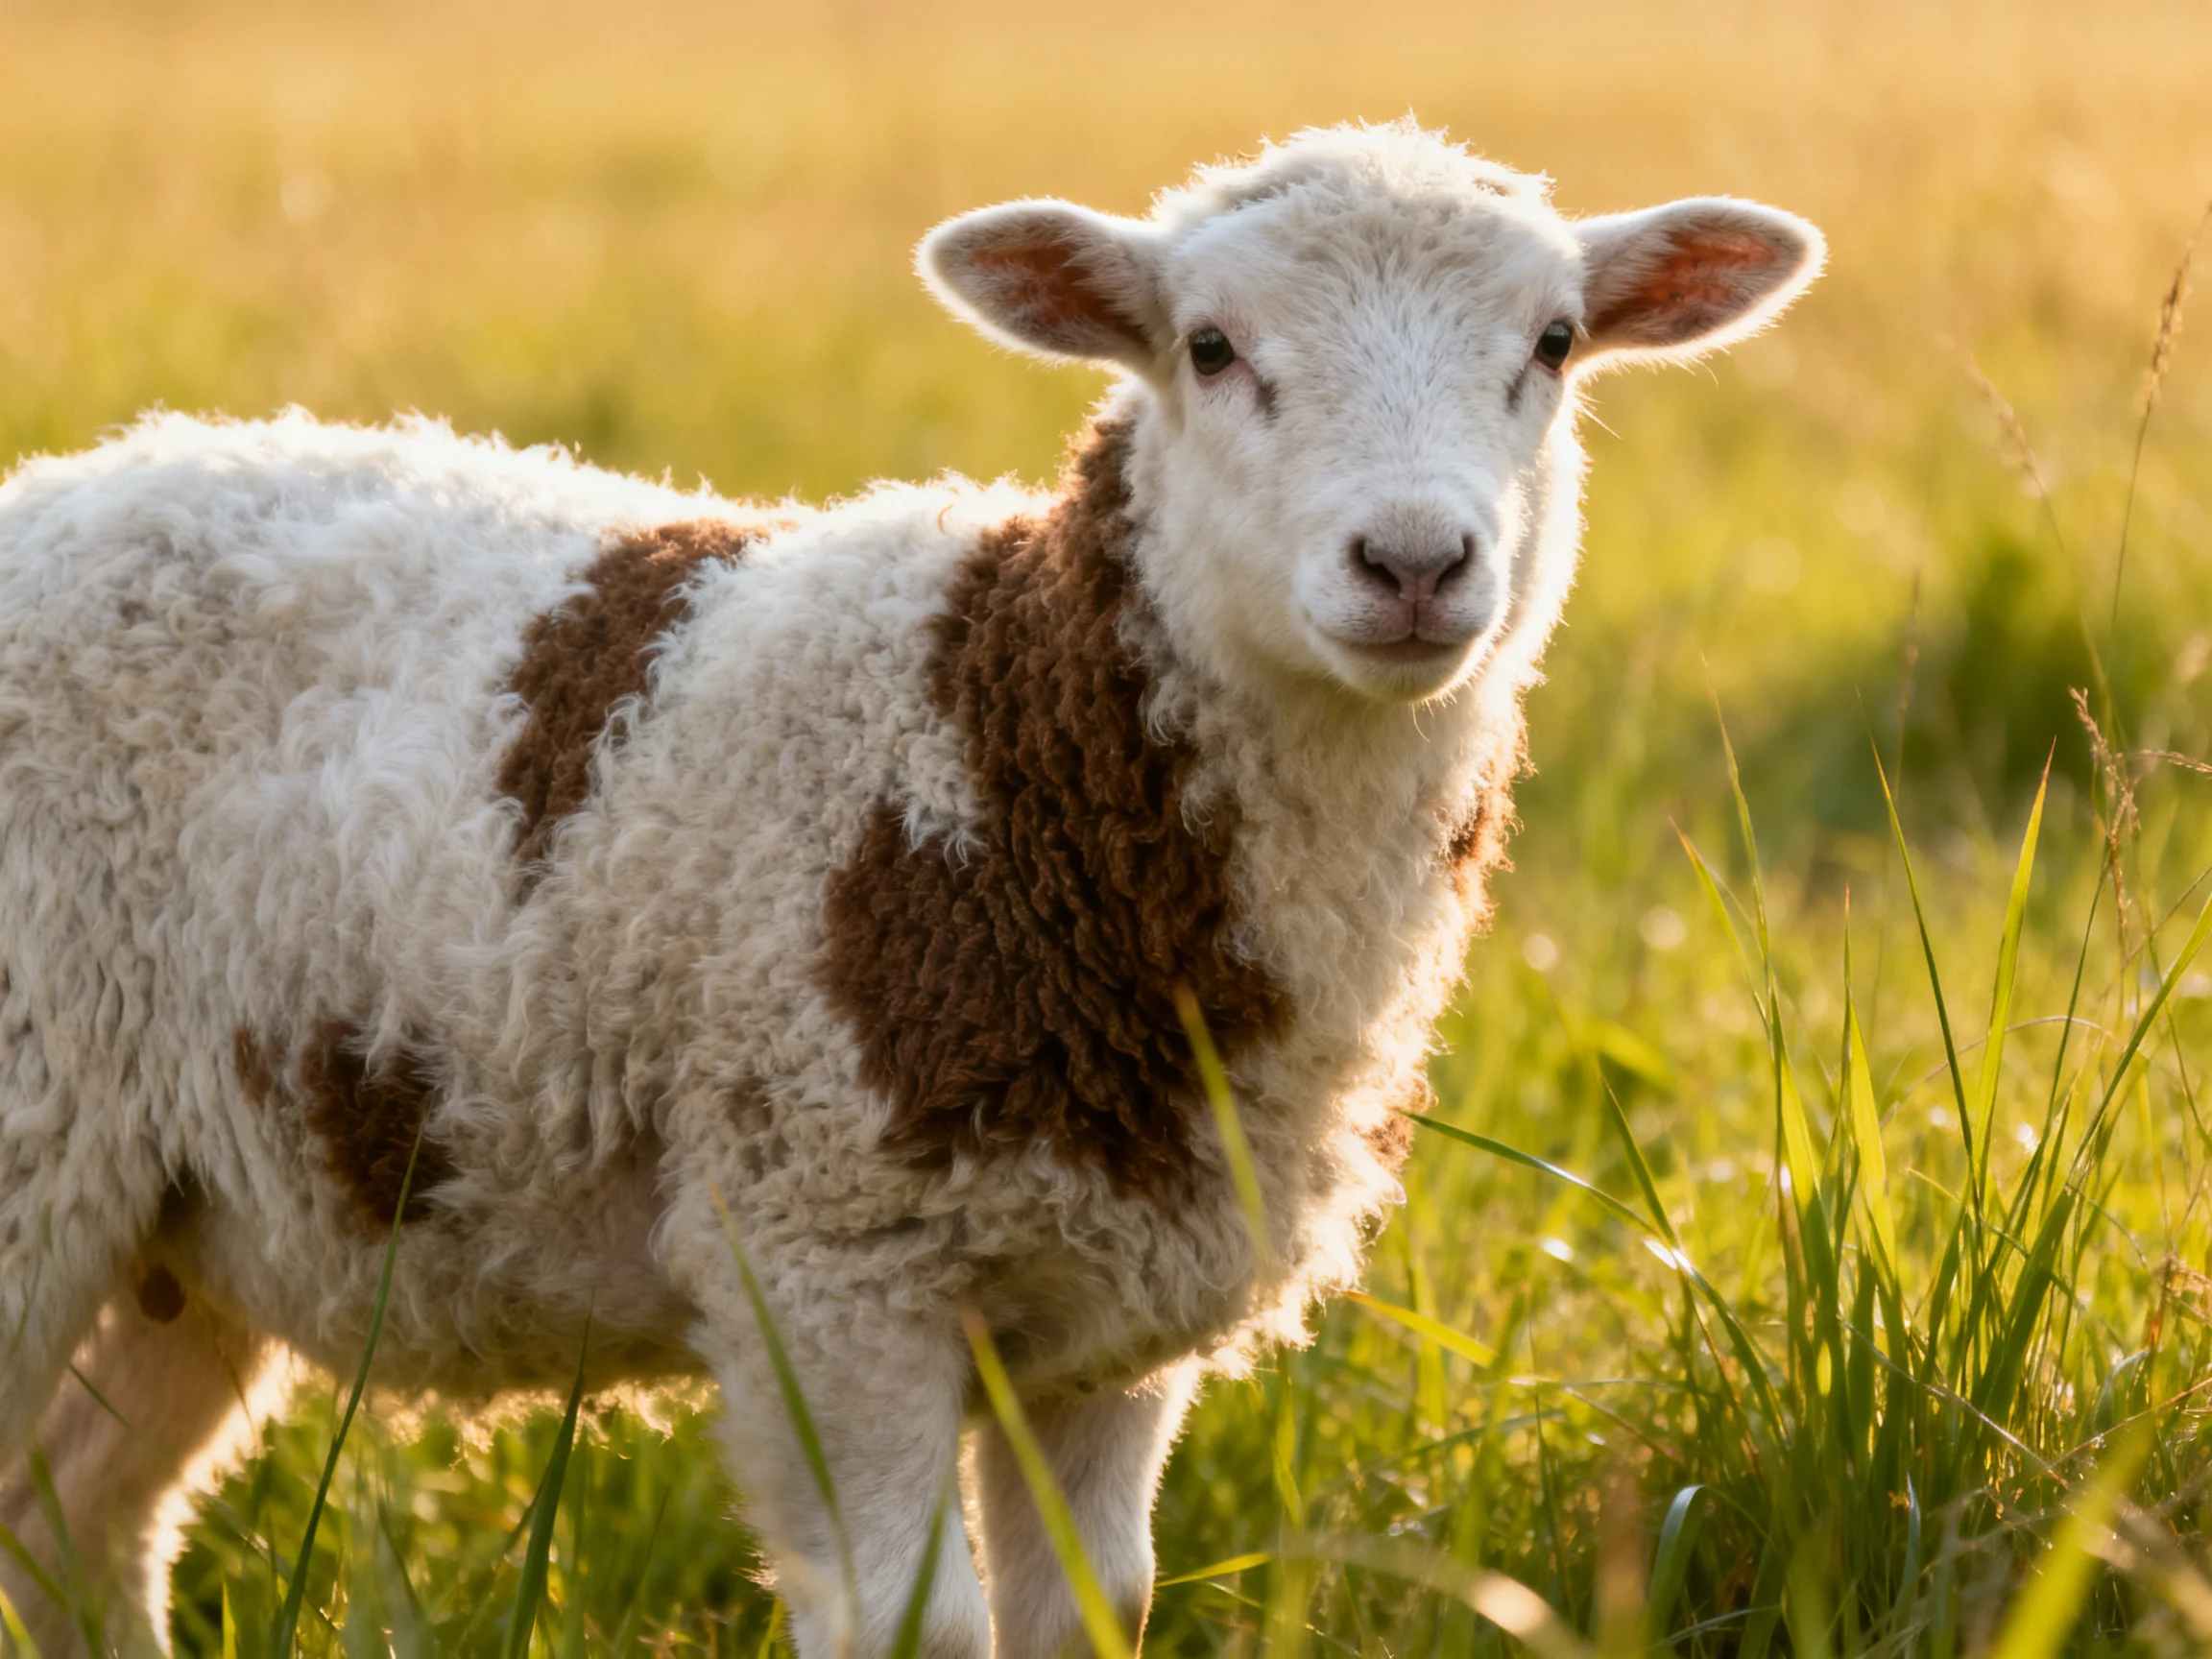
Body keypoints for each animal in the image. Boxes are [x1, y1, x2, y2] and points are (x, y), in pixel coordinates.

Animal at [0, 120, 1820, 1658]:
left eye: (1555, 345)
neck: (1009, 747)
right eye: (1208, 348)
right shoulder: (823, 1255)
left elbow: (1092, 1610)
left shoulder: (1118, 1305)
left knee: (77, 1510)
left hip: (191, 1203)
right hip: (34, 1122)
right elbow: (912, 1627)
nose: (1415, 563)